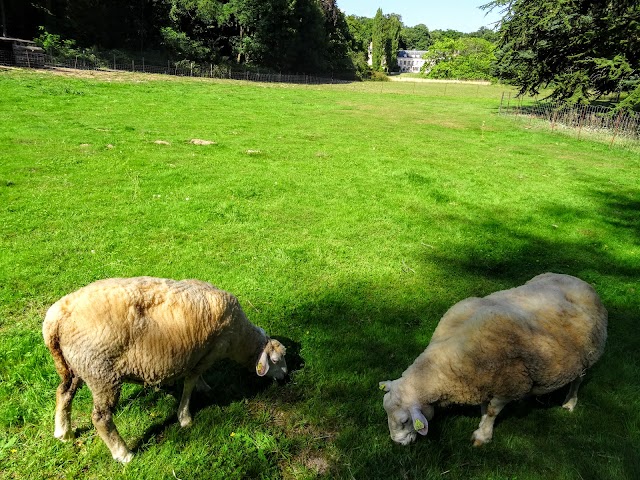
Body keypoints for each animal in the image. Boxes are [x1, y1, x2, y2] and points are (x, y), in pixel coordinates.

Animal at [42, 278, 288, 462]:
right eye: (276, 360)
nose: (286, 376)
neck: (239, 339)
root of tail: (56, 318)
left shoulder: (197, 354)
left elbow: (193, 379)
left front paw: (201, 388)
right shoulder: (209, 352)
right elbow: (189, 382)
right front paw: (185, 417)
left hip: (75, 366)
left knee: (63, 392)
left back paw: (63, 433)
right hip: (101, 373)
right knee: (100, 417)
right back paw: (124, 455)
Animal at [380, 274, 608, 446]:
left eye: (405, 420)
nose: (398, 443)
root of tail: (579, 280)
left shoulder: (508, 386)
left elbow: (492, 411)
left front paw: (482, 435)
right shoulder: (483, 381)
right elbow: (484, 407)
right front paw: (482, 424)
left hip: (588, 356)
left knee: (578, 381)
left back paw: (569, 403)